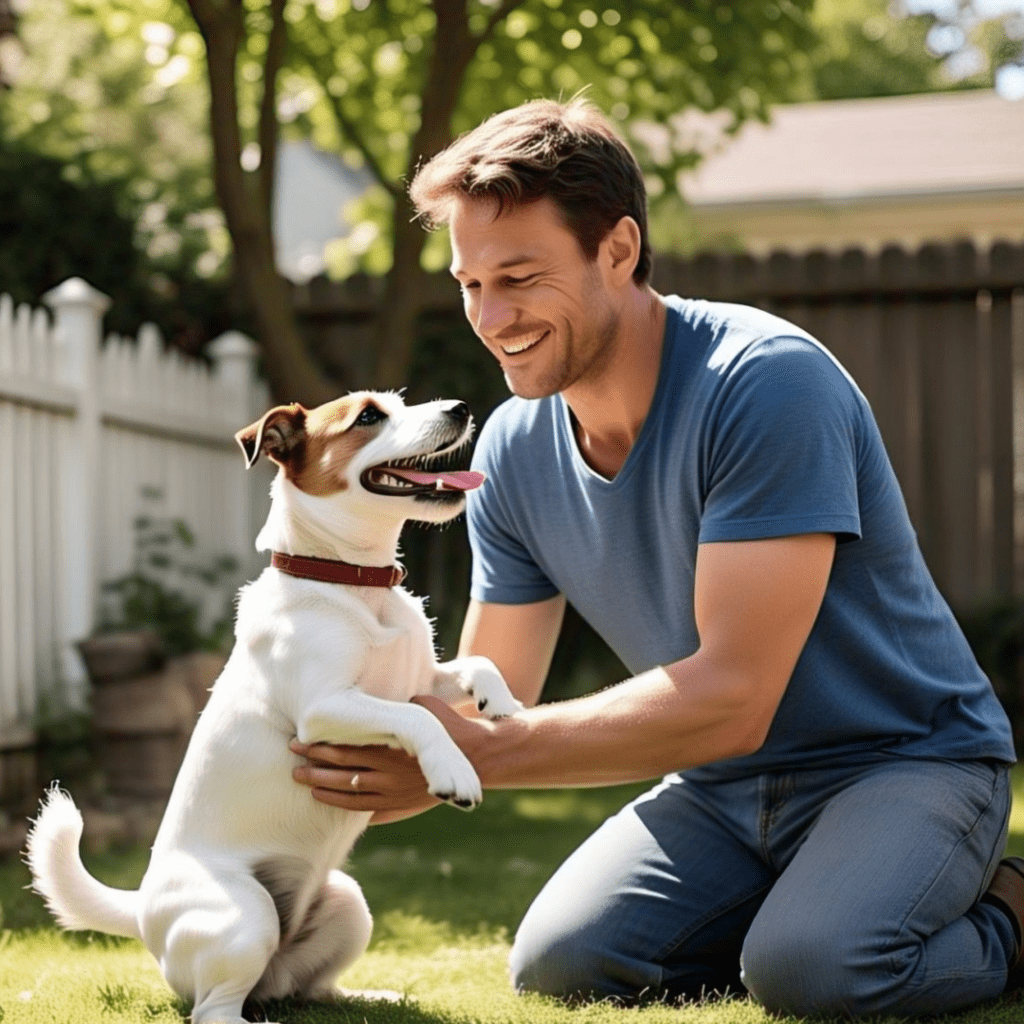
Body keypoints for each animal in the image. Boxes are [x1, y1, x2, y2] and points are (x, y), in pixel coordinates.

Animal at [28, 391, 524, 1024]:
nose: (461, 407)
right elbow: (418, 717)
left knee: (310, 989)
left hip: (347, 905)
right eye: (369, 416)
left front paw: (502, 702)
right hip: (246, 917)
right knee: (213, 1010)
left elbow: (474, 666)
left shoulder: (422, 678)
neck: (354, 582)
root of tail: (140, 911)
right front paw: (454, 769)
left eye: (402, 402)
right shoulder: (324, 709)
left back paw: (372, 996)